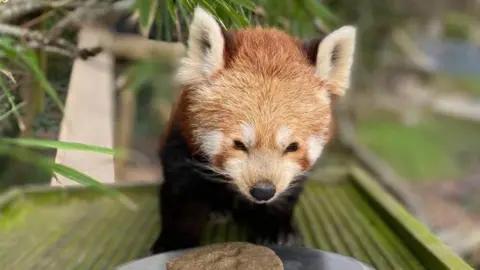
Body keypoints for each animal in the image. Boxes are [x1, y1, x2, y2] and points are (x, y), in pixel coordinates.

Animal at [150, 6, 356, 255]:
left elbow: (285, 195)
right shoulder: (182, 146)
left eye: (292, 147)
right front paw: (174, 241)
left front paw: (278, 231)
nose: (263, 191)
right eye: (239, 144)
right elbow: (183, 198)